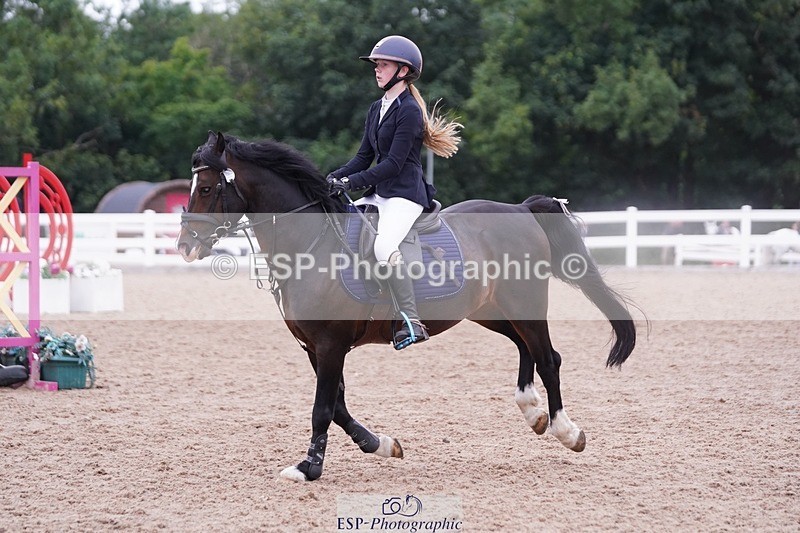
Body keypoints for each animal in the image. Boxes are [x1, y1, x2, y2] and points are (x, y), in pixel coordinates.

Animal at [177, 131, 637, 482]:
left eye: (207, 188)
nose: (184, 247)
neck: (310, 245)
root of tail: (521, 209)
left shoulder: (330, 345)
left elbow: (323, 409)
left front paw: (308, 468)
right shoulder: (313, 347)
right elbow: (338, 407)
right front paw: (382, 445)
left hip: (523, 302)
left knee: (548, 357)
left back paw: (565, 430)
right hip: (488, 309)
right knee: (525, 347)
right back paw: (532, 411)